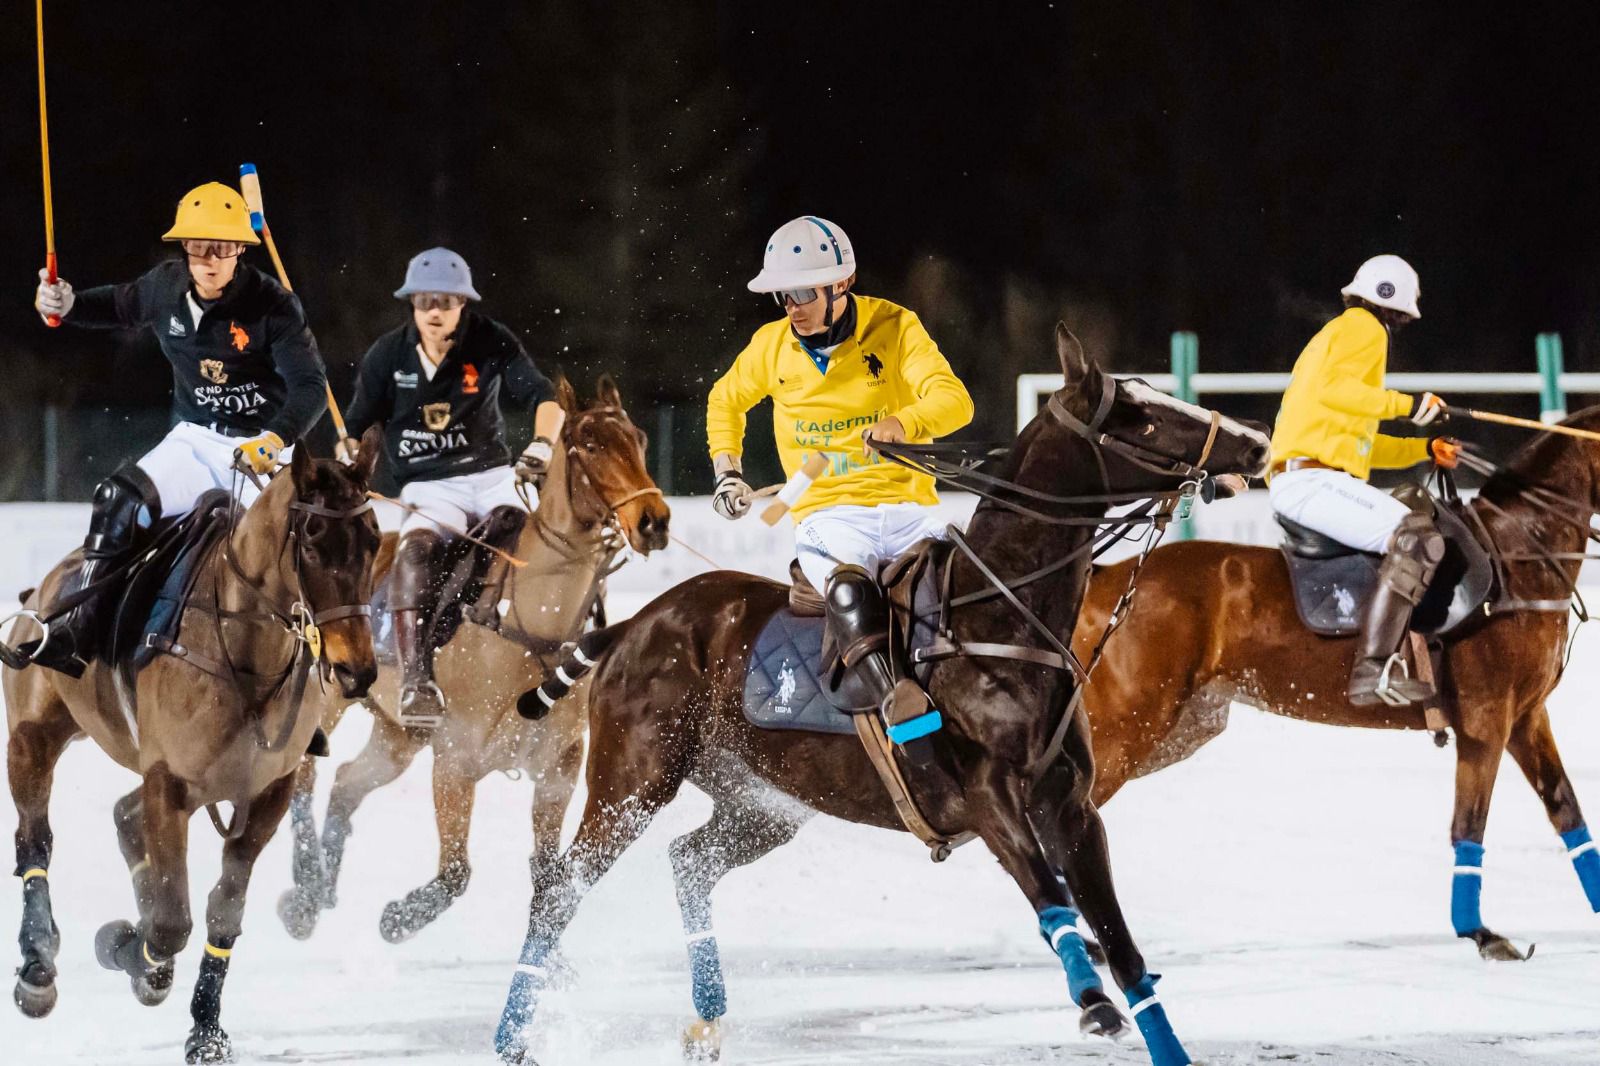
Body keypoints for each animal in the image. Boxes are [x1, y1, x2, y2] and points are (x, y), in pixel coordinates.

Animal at [5, 428, 384, 1056]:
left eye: (375, 538)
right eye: (311, 541)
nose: (358, 671)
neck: (246, 654)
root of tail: (44, 587)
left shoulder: (268, 791)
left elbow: (222, 912)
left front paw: (204, 1029)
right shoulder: (171, 783)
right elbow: (170, 923)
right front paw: (132, 952)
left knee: (123, 815)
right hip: (32, 735)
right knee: (35, 840)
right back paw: (38, 965)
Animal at [273, 372, 668, 941]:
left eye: (638, 438)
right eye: (589, 444)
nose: (654, 521)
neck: (528, 623)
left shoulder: (560, 767)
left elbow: (547, 875)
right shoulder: (455, 760)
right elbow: (456, 872)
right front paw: (397, 918)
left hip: (400, 733)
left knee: (347, 780)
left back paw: (321, 890)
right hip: (331, 700)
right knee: (305, 773)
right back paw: (303, 896)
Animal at [486, 323, 1273, 1062]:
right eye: (1141, 418)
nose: (1257, 441)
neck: (996, 614)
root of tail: (635, 624)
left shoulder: (1073, 806)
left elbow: (1127, 948)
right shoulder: (986, 796)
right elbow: (1053, 901)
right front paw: (1093, 1004)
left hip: (761, 802)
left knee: (688, 860)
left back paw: (706, 1019)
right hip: (633, 779)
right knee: (558, 889)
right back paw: (512, 1036)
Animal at [1062, 409, 1600, 960]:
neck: (1517, 557)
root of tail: (1105, 578)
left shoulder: (1526, 716)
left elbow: (1566, 808)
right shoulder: (1485, 720)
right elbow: (1469, 821)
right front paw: (1481, 933)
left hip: (1180, 726)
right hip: (1130, 720)